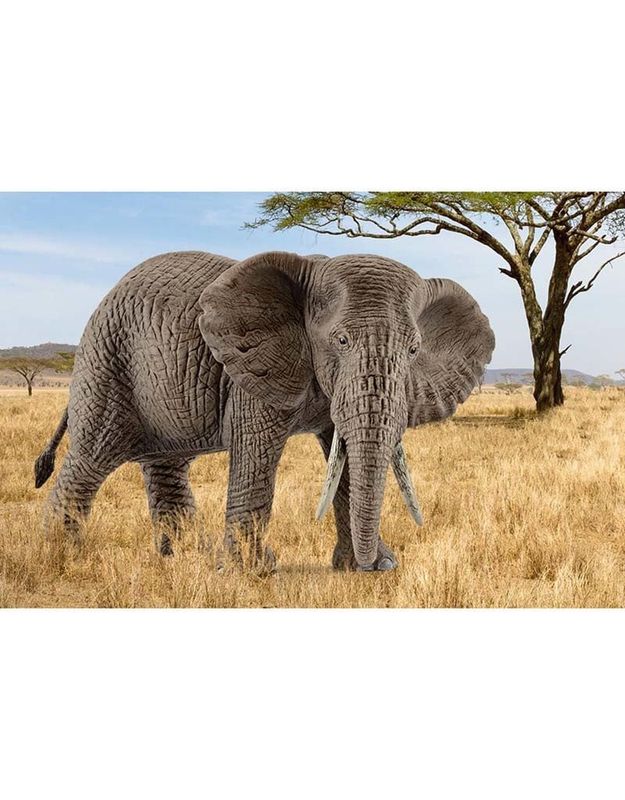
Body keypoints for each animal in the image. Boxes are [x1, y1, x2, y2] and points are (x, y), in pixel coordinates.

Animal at [34, 250, 495, 572]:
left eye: (414, 350)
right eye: (341, 341)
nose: (376, 564)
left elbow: (343, 457)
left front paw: (369, 567)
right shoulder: (252, 368)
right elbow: (257, 453)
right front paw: (252, 573)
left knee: (166, 466)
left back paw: (184, 560)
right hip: (108, 361)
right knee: (91, 458)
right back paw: (63, 559)